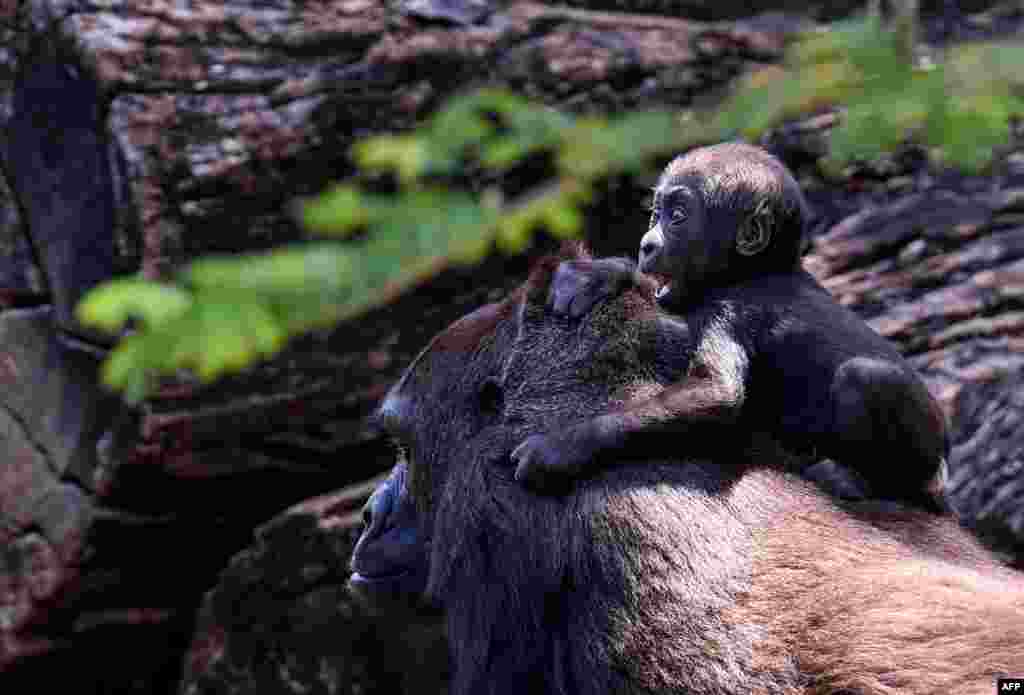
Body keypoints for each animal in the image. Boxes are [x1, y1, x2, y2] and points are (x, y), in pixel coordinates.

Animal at [511, 143, 950, 511]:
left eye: (678, 217)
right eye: (655, 213)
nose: (646, 244)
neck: (752, 270)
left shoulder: (730, 310)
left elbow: (716, 393)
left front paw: (562, 446)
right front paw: (598, 274)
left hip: (929, 458)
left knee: (866, 378)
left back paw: (864, 480)